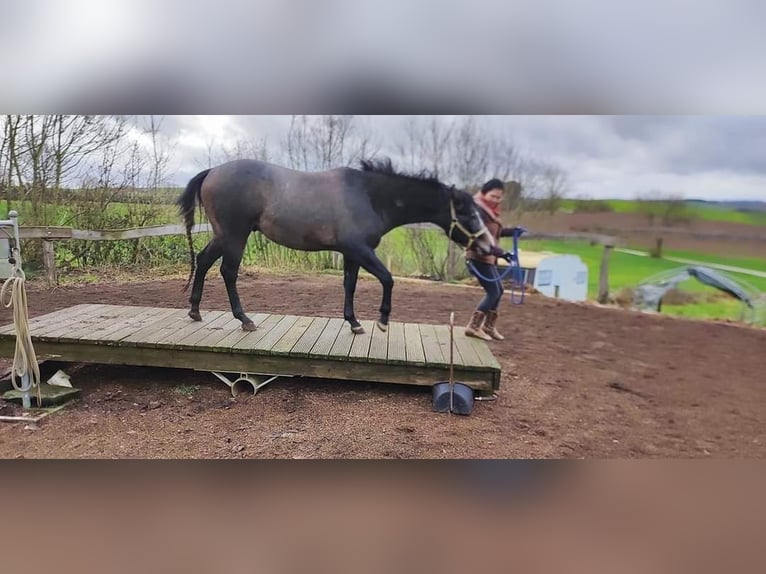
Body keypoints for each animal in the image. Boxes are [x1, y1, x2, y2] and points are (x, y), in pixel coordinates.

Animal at [177, 159, 496, 338]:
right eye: (467, 212)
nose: (489, 246)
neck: (369, 196)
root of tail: (212, 172)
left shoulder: (351, 253)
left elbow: (350, 285)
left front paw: (354, 322)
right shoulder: (360, 250)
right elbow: (387, 279)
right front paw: (382, 320)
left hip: (224, 236)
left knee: (203, 261)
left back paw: (194, 310)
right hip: (235, 236)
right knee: (228, 272)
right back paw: (244, 320)